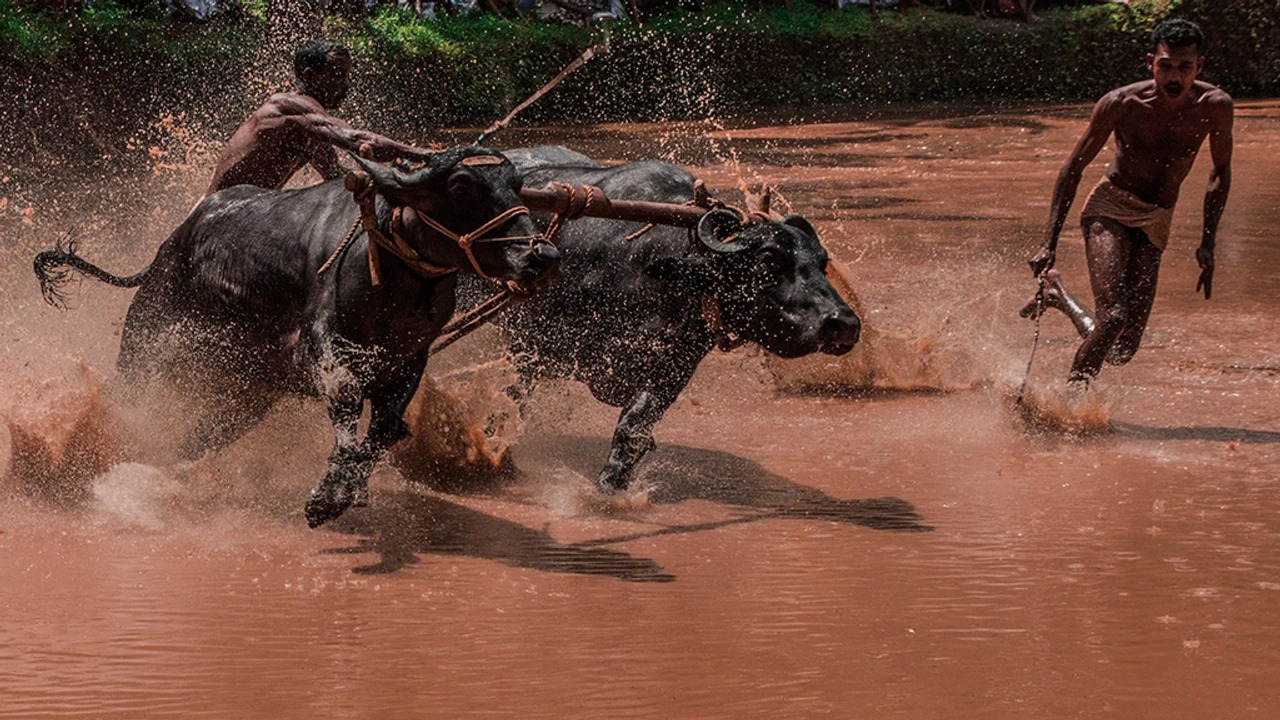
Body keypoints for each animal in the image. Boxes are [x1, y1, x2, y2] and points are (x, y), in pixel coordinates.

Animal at [34, 145, 560, 527]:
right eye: (461, 185)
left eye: (517, 186)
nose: (542, 256)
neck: (394, 275)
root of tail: (172, 244)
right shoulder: (322, 350)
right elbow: (347, 406)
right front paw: (326, 499)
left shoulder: (408, 362)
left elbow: (386, 428)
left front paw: (348, 488)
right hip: (146, 348)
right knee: (129, 399)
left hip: (247, 395)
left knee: (201, 435)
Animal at [467, 146, 861, 494]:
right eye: (768, 261)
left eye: (821, 261)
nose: (844, 323)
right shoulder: (534, 350)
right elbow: (510, 403)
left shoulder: (671, 370)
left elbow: (633, 430)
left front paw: (611, 484)